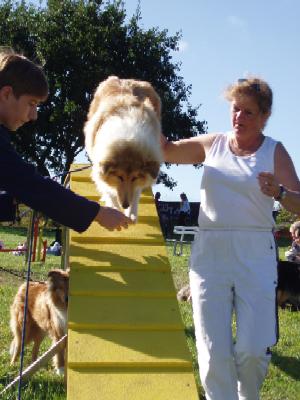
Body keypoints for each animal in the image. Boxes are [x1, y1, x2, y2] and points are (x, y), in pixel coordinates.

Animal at [83, 75, 163, 222]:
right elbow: (108, 189)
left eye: (134, 177)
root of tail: (127, 79)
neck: (128, 137)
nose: (125, 205)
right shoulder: (99, 166)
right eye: (119, 176)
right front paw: (114, 209)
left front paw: (131, 213)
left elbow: (136, 191)